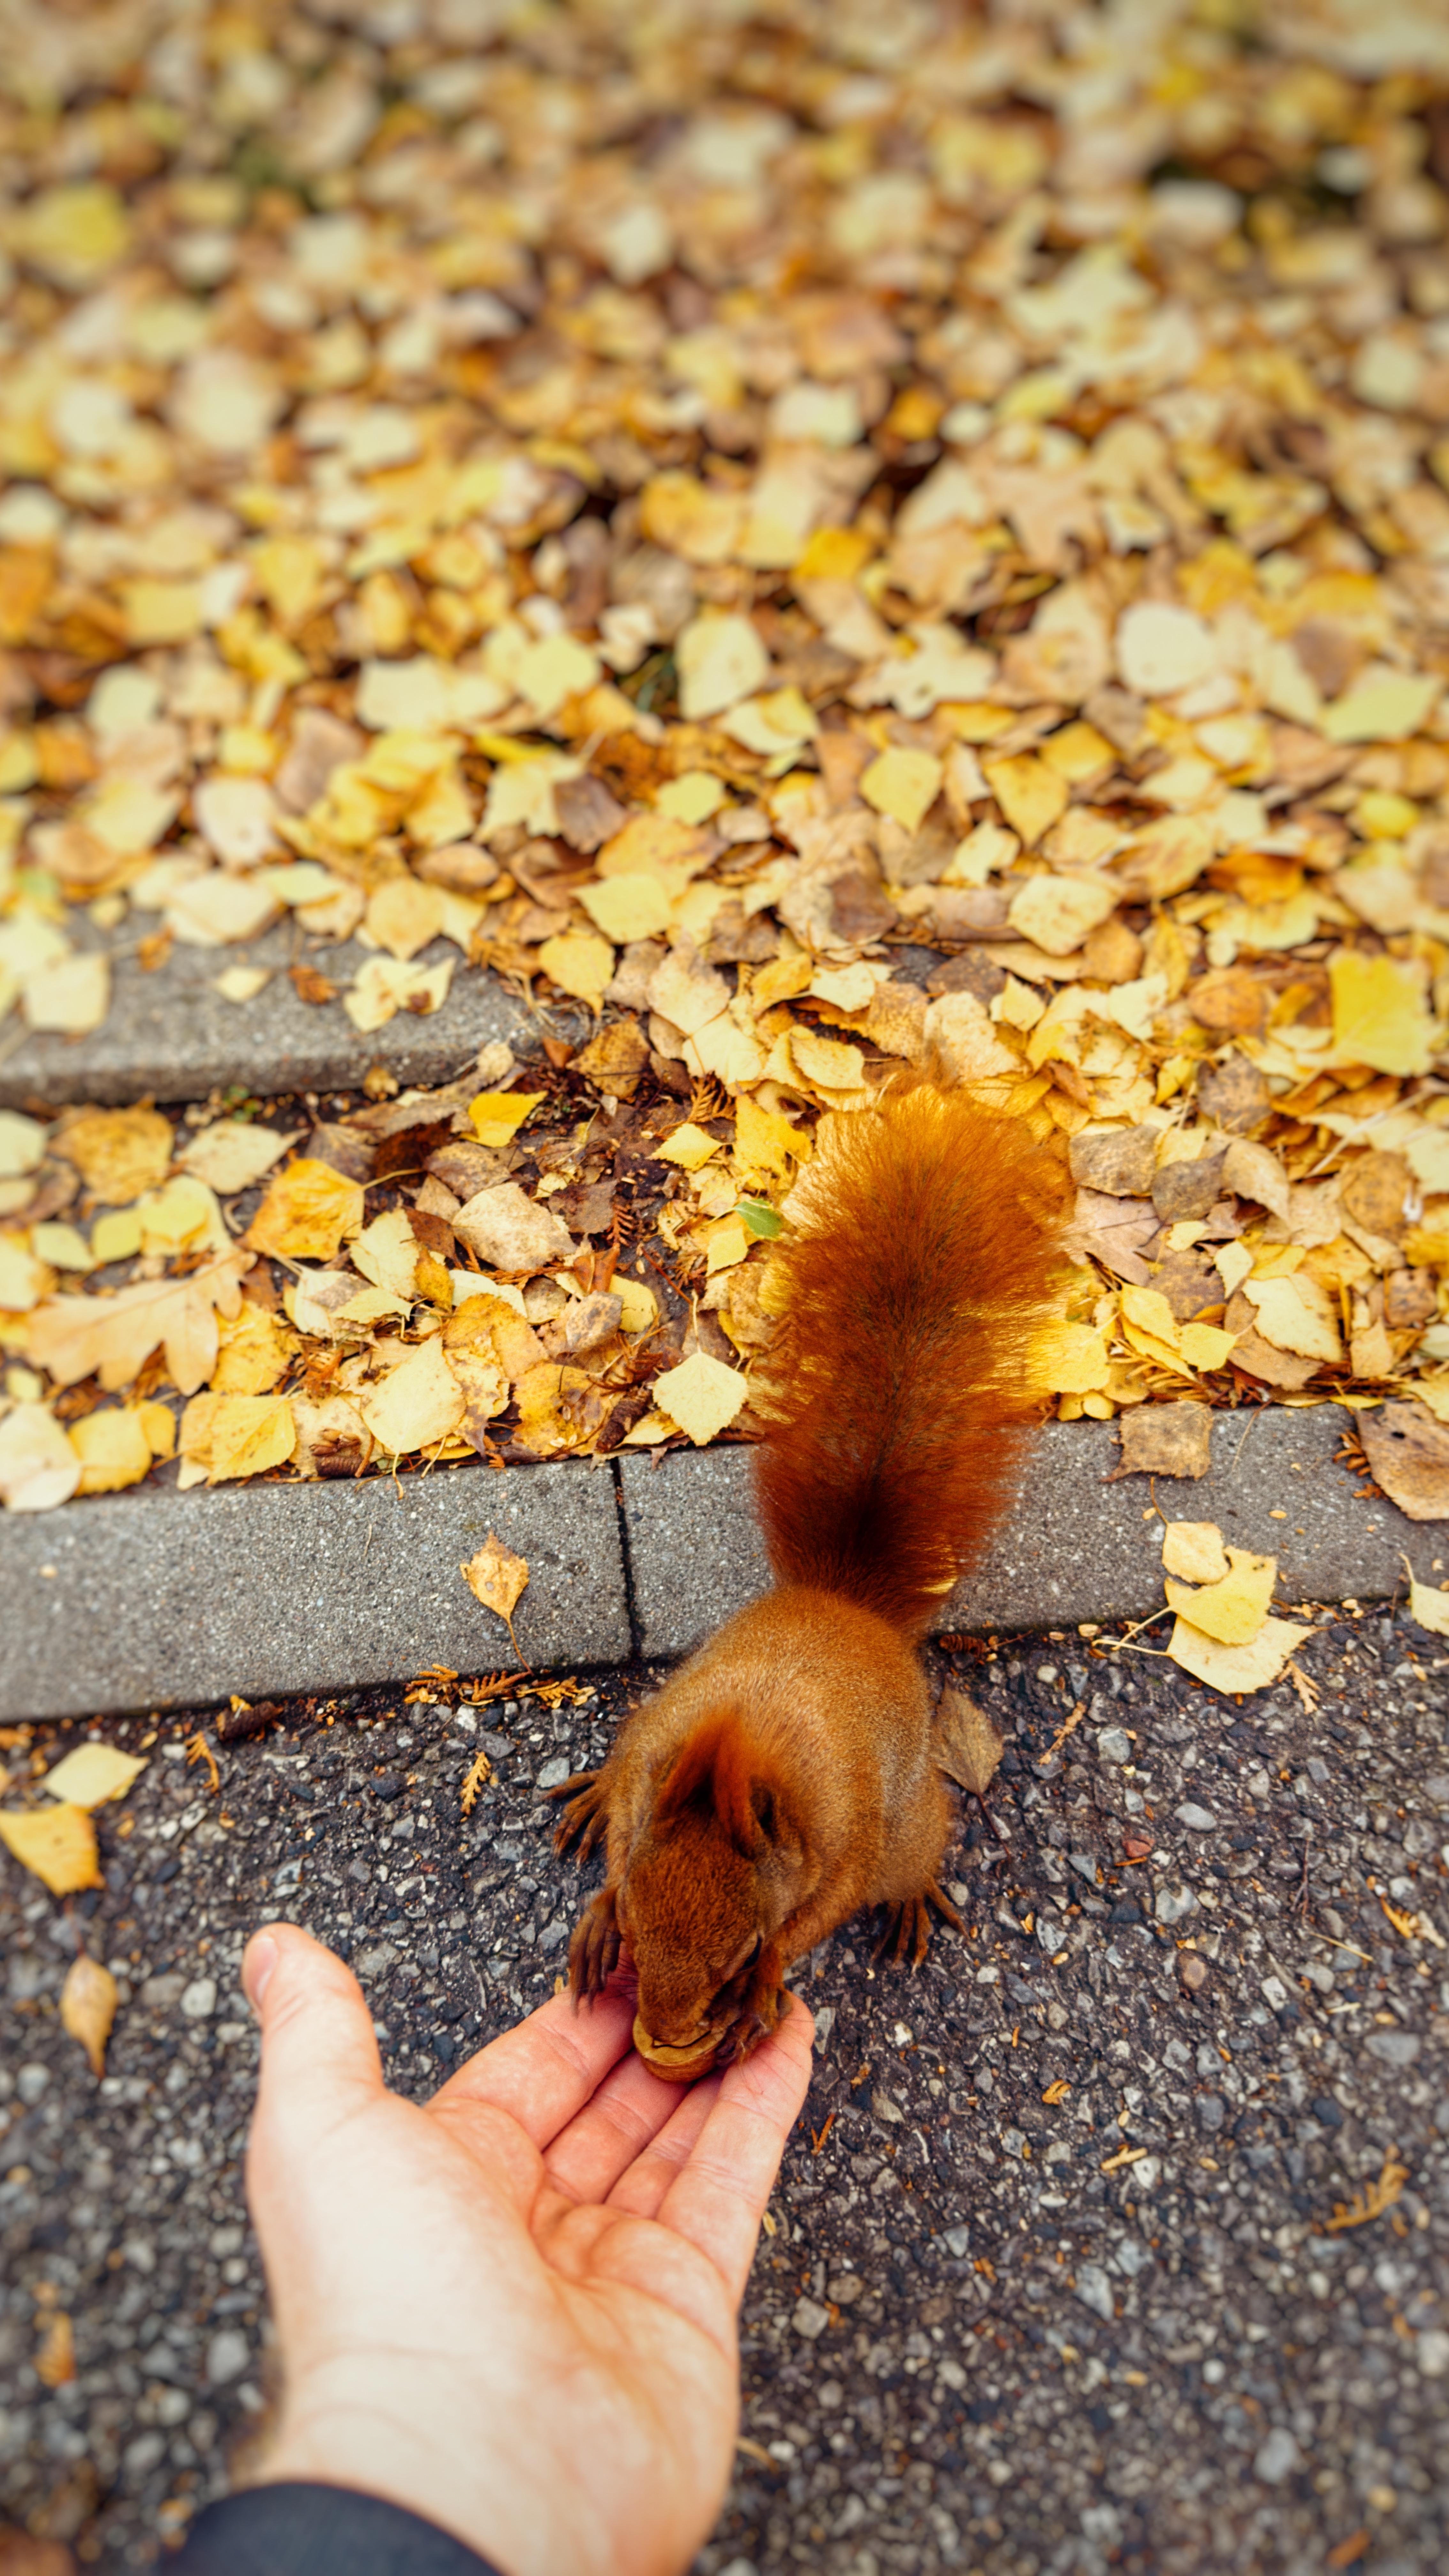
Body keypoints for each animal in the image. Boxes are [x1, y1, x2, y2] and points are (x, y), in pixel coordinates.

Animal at [551, 1077, 1065, 2082]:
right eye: (638, 1926)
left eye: (740, 1954)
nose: (665, 2031)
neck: (737, 1755)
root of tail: (846, 1603)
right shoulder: (659, 1774)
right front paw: (593, 1922)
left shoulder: (845, 1834)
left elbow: (826, 1905)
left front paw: (763, 1993)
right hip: (648, 1722)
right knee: (623, 1761)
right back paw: (594, 1794)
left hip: (907, 1824)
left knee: (909, 1859)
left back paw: (914, 1896)